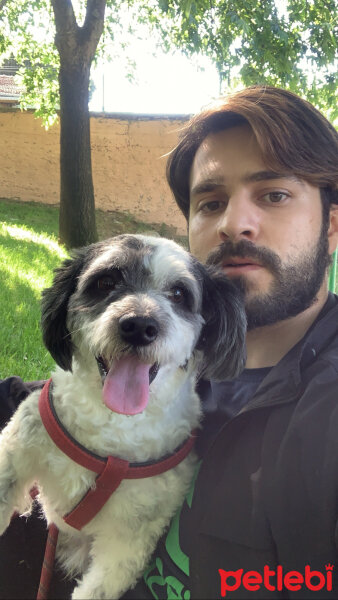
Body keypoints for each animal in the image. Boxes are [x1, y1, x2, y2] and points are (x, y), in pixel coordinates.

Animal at [0, 236, 246, 600]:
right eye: (106, 282)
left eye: (179, 294)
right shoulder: (20, 448)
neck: (112, 428)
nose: (139, 326)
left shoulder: (129, 541)